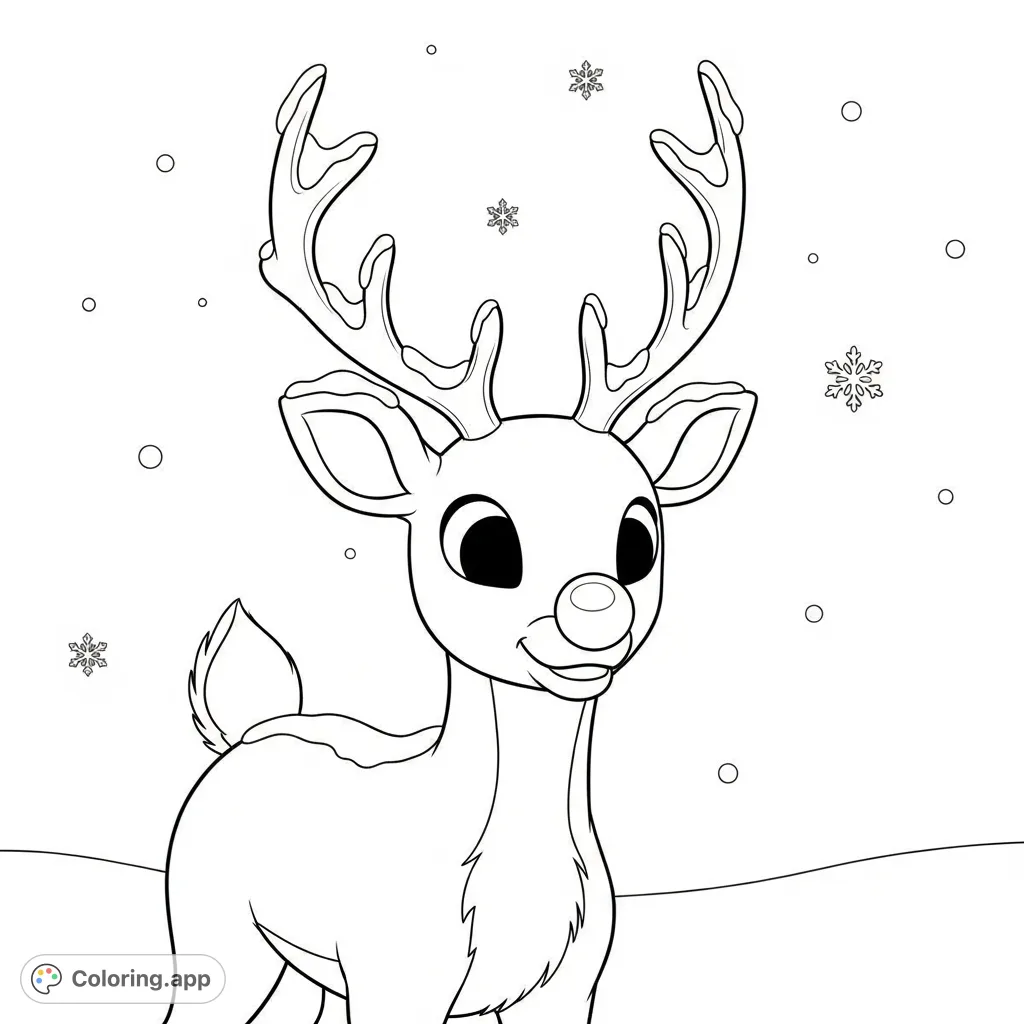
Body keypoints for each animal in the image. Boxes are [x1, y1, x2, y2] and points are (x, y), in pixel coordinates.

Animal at [162, 58, 755, 1024]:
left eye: (638, 537)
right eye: (485, 544)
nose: (596, 610)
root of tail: (250, 728)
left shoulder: (573, 984)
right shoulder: (392, 976)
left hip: (305, 969)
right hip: (215, 935)